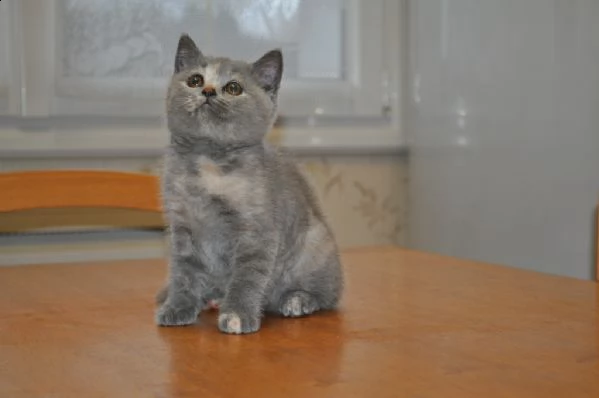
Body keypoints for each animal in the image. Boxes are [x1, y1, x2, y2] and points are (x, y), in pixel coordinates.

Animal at [155, 34, 342, 334]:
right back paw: (212, 299)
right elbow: (183, 273)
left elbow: (247, 277)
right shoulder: (183, 228)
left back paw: (298, 300)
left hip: (315, 244)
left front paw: (237, 315)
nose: (208, 91)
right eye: (194, 80)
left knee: (326, 294)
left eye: (233, 88)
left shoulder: (256, 230)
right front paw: (178, 307)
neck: (209, 161)